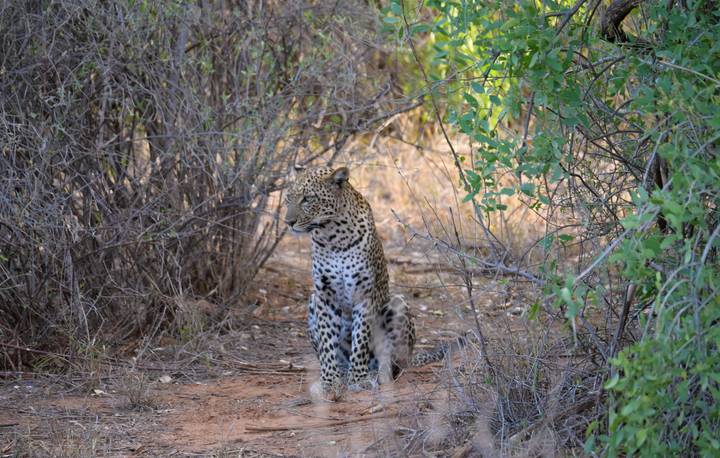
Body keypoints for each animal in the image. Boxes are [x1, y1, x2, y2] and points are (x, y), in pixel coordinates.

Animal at [284, 165, 463, 399]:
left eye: (307, 199)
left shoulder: (365, 295)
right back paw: (343, 373)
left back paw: (376, 374)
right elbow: (326, 344)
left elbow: (360, 340)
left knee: (393, 364)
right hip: (312, 302)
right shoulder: (324, 296)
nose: (288, 222)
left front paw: (358, 379)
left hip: (397, 305)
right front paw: (329, 382)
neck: (332, 236)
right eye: (288, 198)